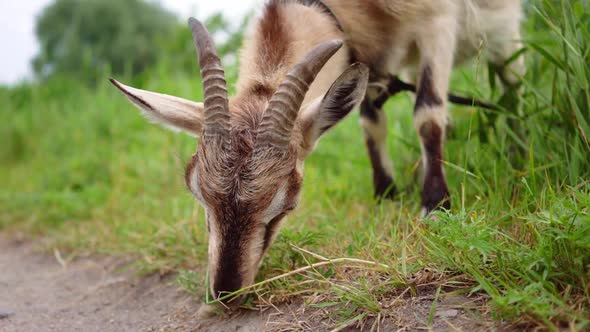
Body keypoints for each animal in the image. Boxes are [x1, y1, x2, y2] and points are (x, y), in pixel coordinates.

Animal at [112, 0, 528, 304]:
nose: (225, 292)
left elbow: (427, 111)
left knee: (513, 87)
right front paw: (386, 194)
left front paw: (435, 206)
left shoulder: (438, 21)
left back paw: (520, 155)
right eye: (199, 195)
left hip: (504, 34)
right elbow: (370, 118)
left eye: (286, 205)